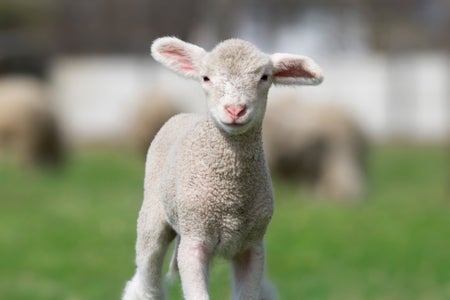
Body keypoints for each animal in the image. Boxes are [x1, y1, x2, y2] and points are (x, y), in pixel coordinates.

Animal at [121, 37, 322, 300]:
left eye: (264, 77)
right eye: (206, 78)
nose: (235, 110)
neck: (230, 197)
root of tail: (186, 115)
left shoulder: (252, 246)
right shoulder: (194, 239)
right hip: (153, 216)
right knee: (146, 279)